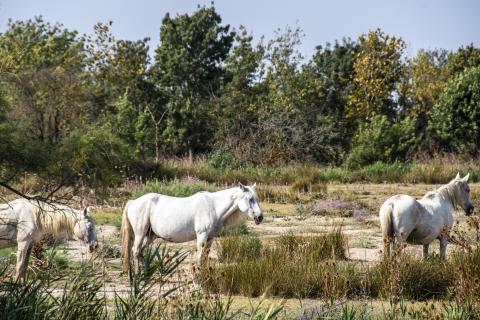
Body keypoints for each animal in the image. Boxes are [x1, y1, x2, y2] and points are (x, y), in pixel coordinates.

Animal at [120, 182, 262, 272]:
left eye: (257, 198)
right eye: (250, 199)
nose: (260, 217)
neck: (213, 207)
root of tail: (133, 202)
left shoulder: (210, 238)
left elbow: (205, 256)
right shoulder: (202, 236)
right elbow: (199, 257)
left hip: (150, 236)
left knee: (140, 252)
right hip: (140, 234)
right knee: (136, 251)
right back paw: (138, 275)